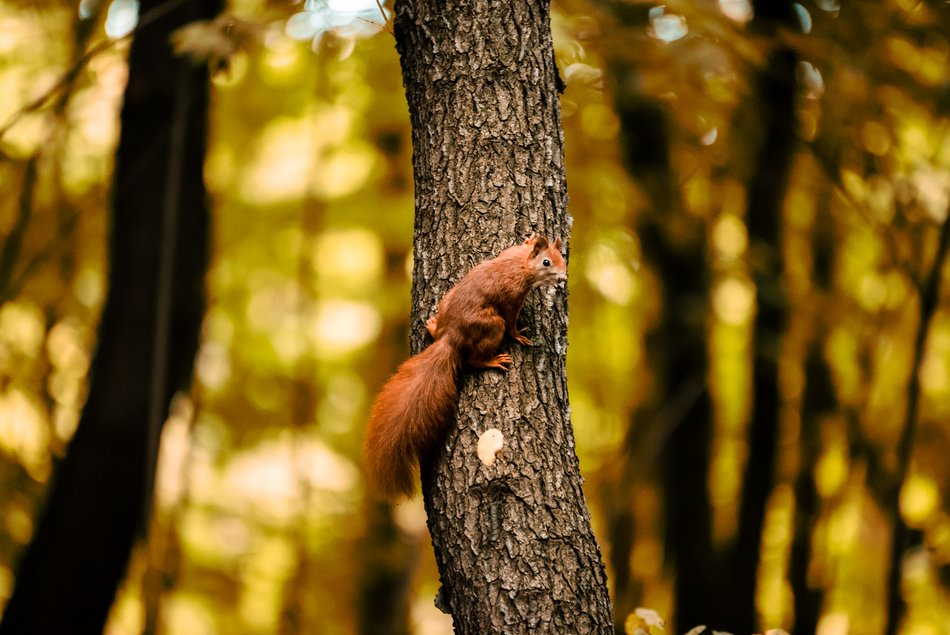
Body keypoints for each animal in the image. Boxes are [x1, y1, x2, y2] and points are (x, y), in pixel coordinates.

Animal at [364, 235, 564, 502]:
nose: (562, 278)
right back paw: (491, 360)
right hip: (492, 325)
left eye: (562, 259)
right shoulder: (512, 297)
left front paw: (529, 237)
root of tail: (451, 337)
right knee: (474, 359)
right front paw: (518, 336)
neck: (521, 264)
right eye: (546, 262)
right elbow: (512, 320)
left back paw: (432, 326)